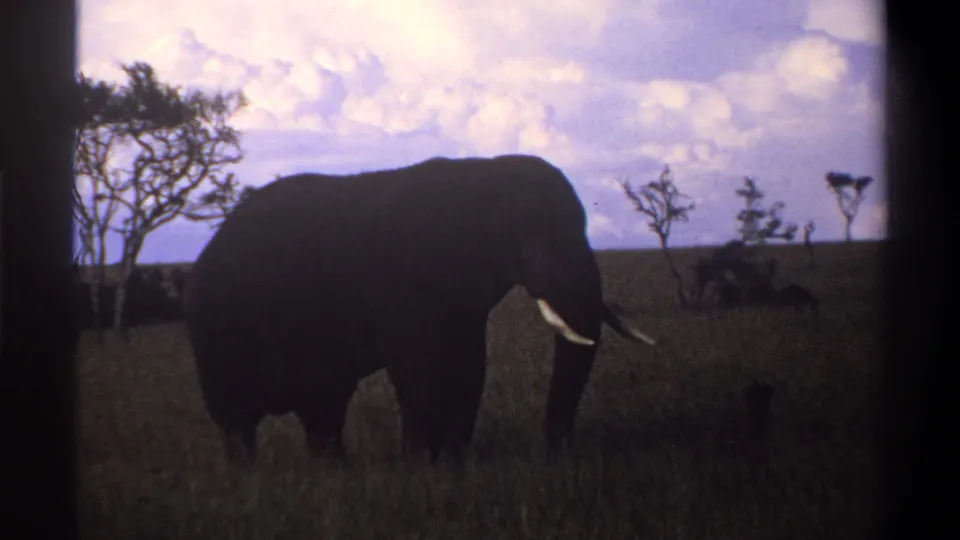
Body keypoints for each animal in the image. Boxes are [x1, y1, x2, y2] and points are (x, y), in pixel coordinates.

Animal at [182, 154, 657, 465]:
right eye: (530, 237)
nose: (555, 452)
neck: (483, 175)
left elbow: (469, 366)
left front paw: (455, 464)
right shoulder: (405, 283)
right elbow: (421, 370)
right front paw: (423, 469)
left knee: (323, 408)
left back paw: (336, 474)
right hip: (216, 328)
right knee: (237, 418)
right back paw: (249, 480)